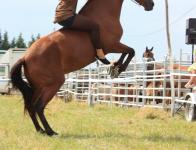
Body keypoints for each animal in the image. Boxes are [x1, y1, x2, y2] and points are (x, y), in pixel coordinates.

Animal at [10, 0, 155, 136]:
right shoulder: (113, 45)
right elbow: (131, 51)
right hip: (53, 84)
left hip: (38, 87)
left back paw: (40, 130)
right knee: (39, 106)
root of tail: (25, 57)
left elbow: (128, 52)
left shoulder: (115, 45)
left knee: (31, 106)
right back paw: (50, 131)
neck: (104, 14)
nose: (152, 5)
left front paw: (115, 66)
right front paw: (117, 68)